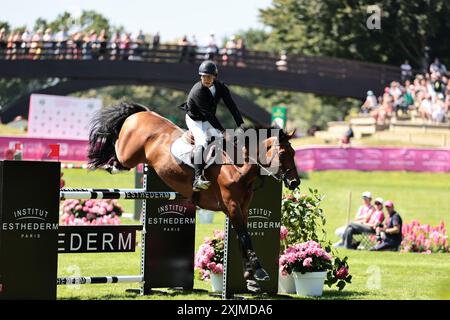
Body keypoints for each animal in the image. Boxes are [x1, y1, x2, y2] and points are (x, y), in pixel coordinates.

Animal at [86, 102, 300, 292]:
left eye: (294, 153)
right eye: (282, 154)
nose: (294, 183)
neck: (238, 166)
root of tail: (141, 113)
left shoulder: (243, 209)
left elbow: (243, 239)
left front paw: (251, 279)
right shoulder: (231, 206)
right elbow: (246, 238)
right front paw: (260, 272)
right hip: (128, 154)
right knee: (117, 151)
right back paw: (104, 162)